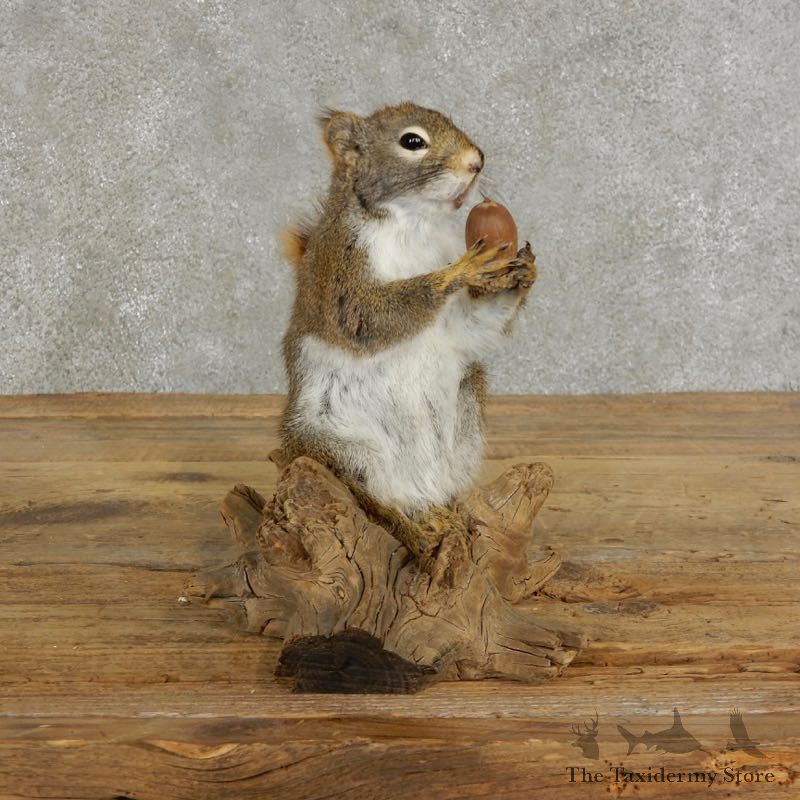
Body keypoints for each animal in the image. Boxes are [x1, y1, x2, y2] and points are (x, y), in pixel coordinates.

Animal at [276, 102, 537, 558]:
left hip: (464, 427)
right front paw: (461, 270)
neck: (414, 224)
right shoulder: (340, 273)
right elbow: (367, 316)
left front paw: (522, 272)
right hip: (337, 447)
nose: (477, 162)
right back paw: (414, 527)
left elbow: (471, 327)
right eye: (411, 141)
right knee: (371, 498)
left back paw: (443, 513)